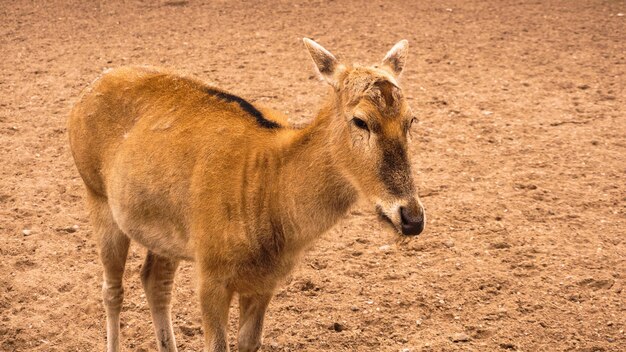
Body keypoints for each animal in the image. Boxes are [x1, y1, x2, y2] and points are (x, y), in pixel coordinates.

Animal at [68, 38, 424, 352]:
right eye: (361, 121)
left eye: (411, 119)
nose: (412, 218)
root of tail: (86, 93)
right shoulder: (210, 271)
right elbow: (217, 345)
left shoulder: (266, 281)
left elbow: (249, 342)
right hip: (96, 196)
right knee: (112, 290)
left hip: (164, 232)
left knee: (154, 282)